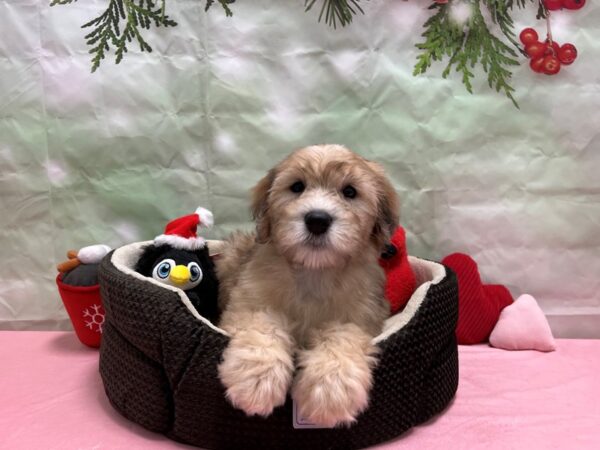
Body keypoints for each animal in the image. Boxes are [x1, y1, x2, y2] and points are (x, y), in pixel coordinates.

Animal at [216, 146, 398, 428]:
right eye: (297, 187)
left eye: (350, 192)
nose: (317, 220)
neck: (314, 272)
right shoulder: (249, 302)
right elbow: (262, 327)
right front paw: (256, 377)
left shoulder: (360, 317)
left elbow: (342, 336)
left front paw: (331, 389)